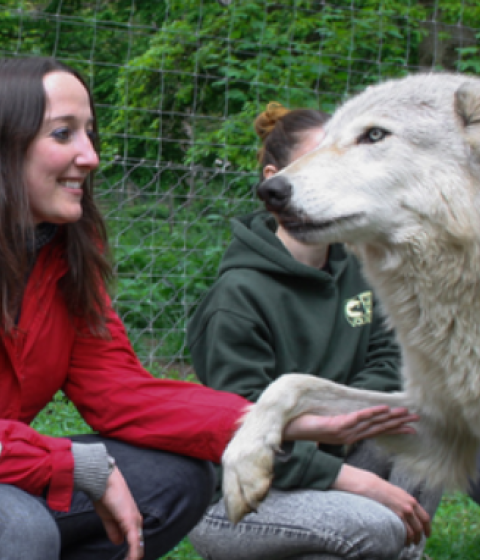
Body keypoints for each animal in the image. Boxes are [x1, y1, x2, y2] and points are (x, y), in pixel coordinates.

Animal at [223, 71, 480, 524]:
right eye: (325, 138)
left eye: (374, 134)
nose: (270, 190)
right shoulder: (443, 424)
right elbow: (290, 383)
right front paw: (242, 463)